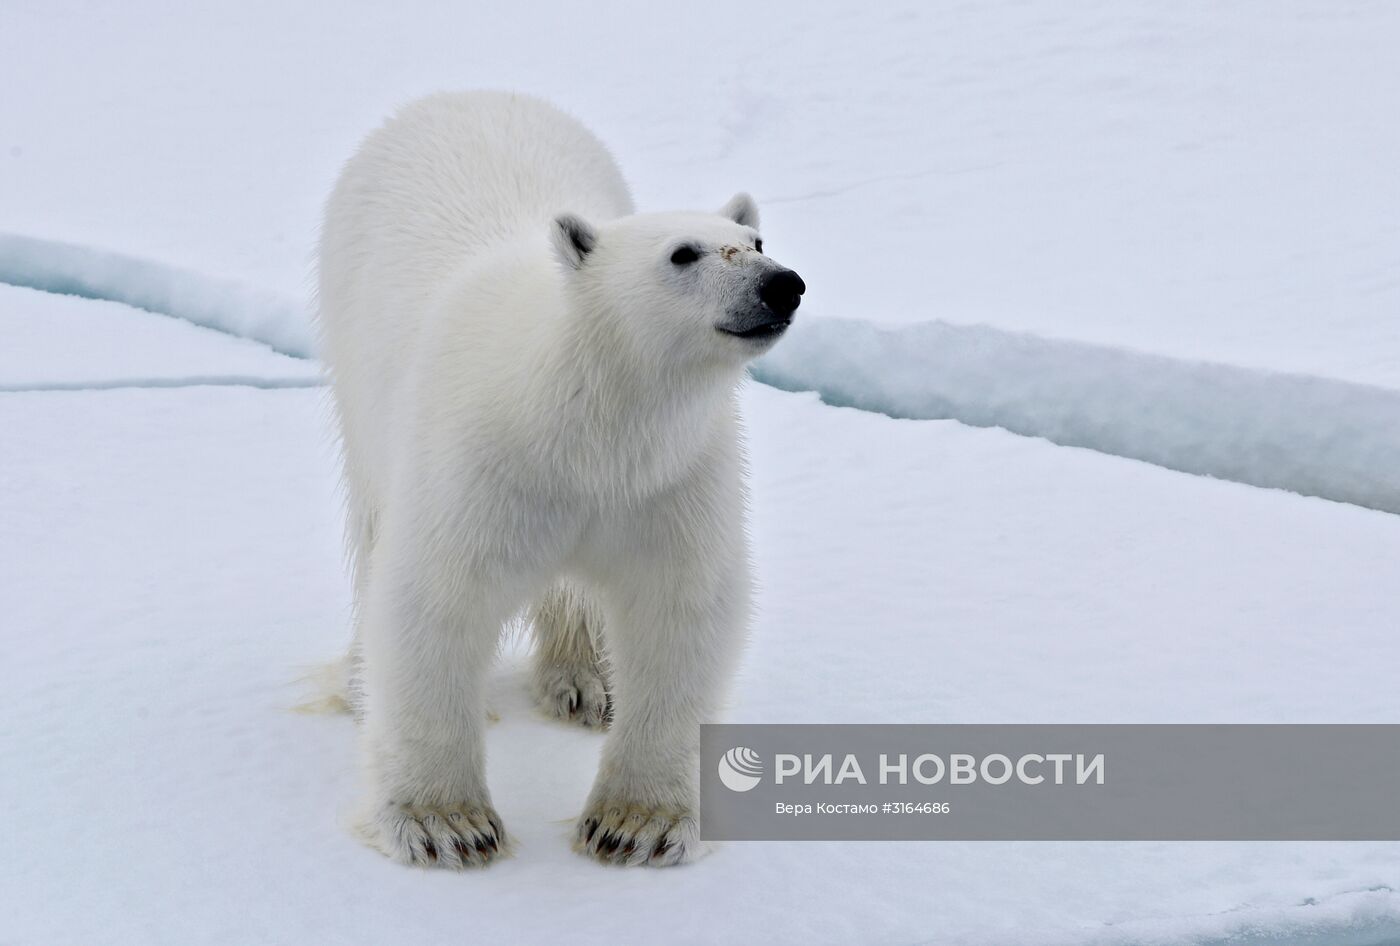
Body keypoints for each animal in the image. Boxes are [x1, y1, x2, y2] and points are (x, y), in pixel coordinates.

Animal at [315, 92, 800, 867]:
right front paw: (445, 824)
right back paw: (364, 680)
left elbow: (681, 607)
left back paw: (589, 683)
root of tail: (465, 94)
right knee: (370, 522)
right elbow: (435, 599)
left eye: (754, 242)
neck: (580, 423)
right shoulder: (479, 467)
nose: (782, 283)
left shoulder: (668, 477)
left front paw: (637, 825)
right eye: (683, 253)